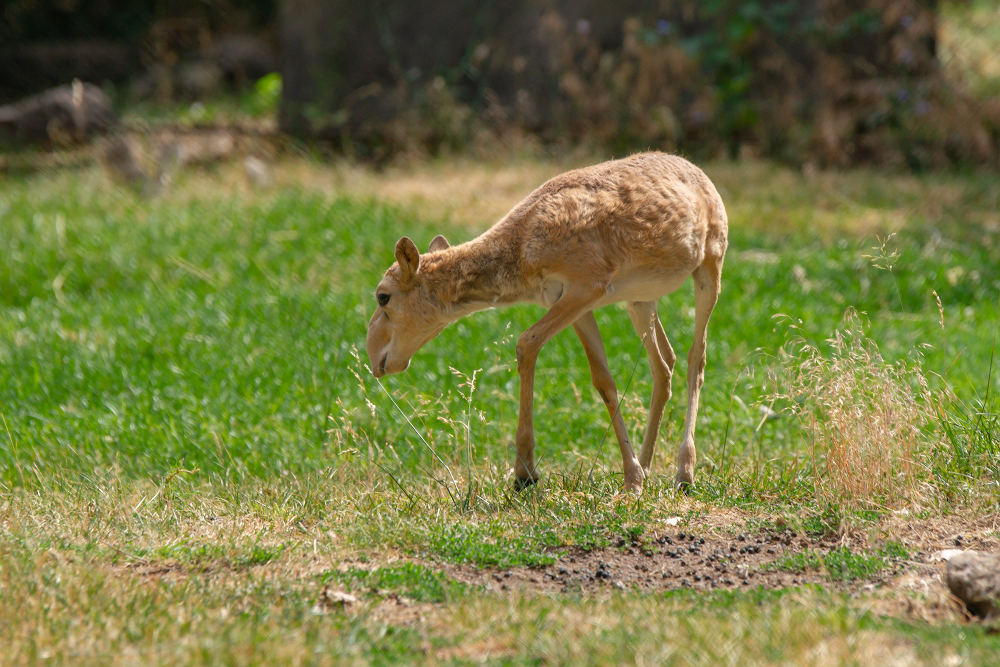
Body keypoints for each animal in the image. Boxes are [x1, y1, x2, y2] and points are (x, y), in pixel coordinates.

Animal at [368, 153, 728, 496]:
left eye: (383, 296)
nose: (374, 358)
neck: (523, 244)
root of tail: (700, 173)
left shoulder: (587, 287)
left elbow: (526, 343)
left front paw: (525, 473)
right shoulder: (577, 303)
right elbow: (603, 380)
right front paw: (633, 477)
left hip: (710, 267)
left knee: (696, 358)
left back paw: (685, 474)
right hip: (640, 300)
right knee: (664, 364)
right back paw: (649, 463)